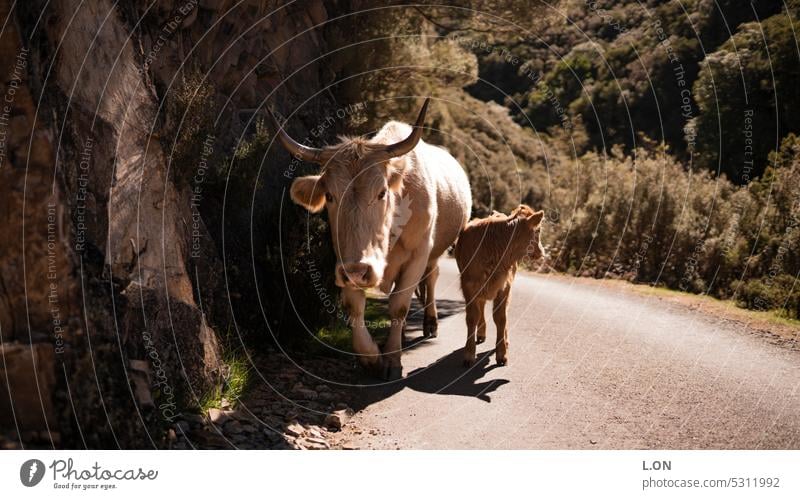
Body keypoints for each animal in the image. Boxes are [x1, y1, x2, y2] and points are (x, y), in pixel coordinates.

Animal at [456, 206, 544, 368]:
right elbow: (472, 317)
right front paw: (469, 354)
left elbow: (501, 318)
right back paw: (481, 333)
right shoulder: (468, 287)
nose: (542, 252)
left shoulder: (504, 287)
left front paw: (502, 353)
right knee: (481, 306)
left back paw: (505, 340)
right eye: (538, 230)